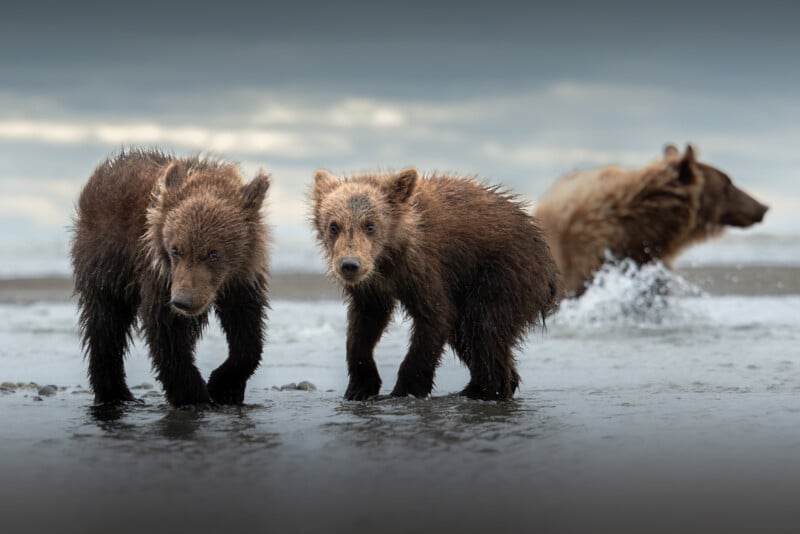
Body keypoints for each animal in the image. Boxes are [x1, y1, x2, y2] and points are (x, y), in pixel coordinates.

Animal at [71, 149, 271, 407]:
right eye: (176, 249)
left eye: (214, 253)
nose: (183, 301)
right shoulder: (160, 276)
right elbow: (165, 332)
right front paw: (194, 396)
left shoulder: (242, 278)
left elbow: (248, 330)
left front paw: (224, 386)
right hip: (106, 261)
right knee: (105, 323)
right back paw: (115, 393)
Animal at [311, 168, 560, 401]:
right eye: (334, 226)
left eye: (370, 225)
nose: (350, 265)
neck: (388, 258)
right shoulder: (372, 287)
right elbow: (364, 325)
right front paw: (360, 387)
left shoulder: (426, 267)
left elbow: (434, 316)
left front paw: (405, 390)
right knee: (466, 334)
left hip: (503, 274)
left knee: (483, 326)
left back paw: (485, 390)